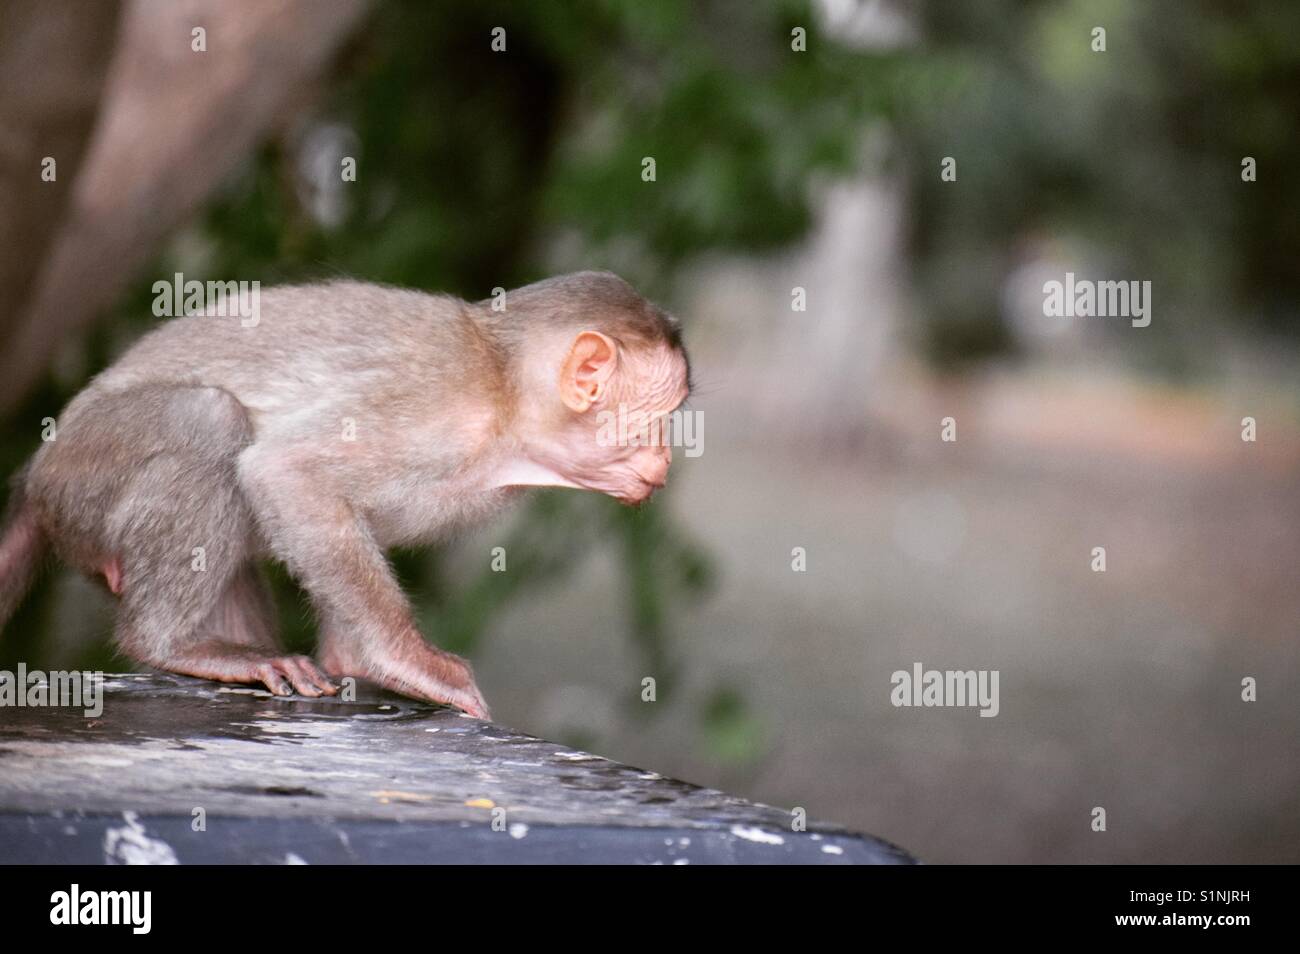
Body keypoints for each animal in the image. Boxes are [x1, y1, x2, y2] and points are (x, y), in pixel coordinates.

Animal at [0, 272, 691, 722]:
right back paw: (170, 646)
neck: (508, 405)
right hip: (87, 479)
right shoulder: (433, 412)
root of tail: (38, 474)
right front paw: (398, 659)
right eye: (658, 418)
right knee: (209, 420)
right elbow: (288, 469)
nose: (666, 456)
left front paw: (349, 653)